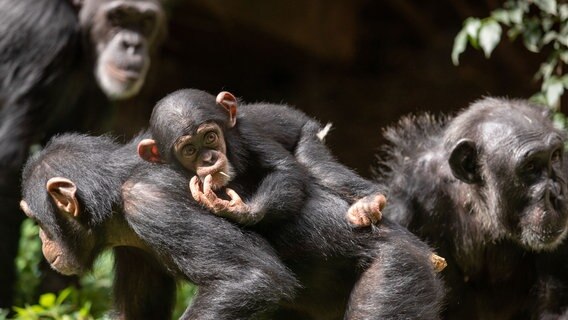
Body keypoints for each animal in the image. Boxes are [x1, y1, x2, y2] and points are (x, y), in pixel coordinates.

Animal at [1, 0, 166, 306]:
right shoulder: (41, 34)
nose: (132, 44)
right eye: (118, 16)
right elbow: (7, 162)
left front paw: (61, 295)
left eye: (144, 21)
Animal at [20, 133, 300, 320]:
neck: (113, 199)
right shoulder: (134, 250)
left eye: (37, 221)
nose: (42, 239)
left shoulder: (153, 205)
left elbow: (250, 277)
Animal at [136, 89, 444, 318]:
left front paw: (236, 209)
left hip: (309, 134)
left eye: (210, 136)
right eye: (189, 149)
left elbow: (284, 171)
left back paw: (368, 202)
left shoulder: (249, 135)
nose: (209, 159)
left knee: (314, 162)